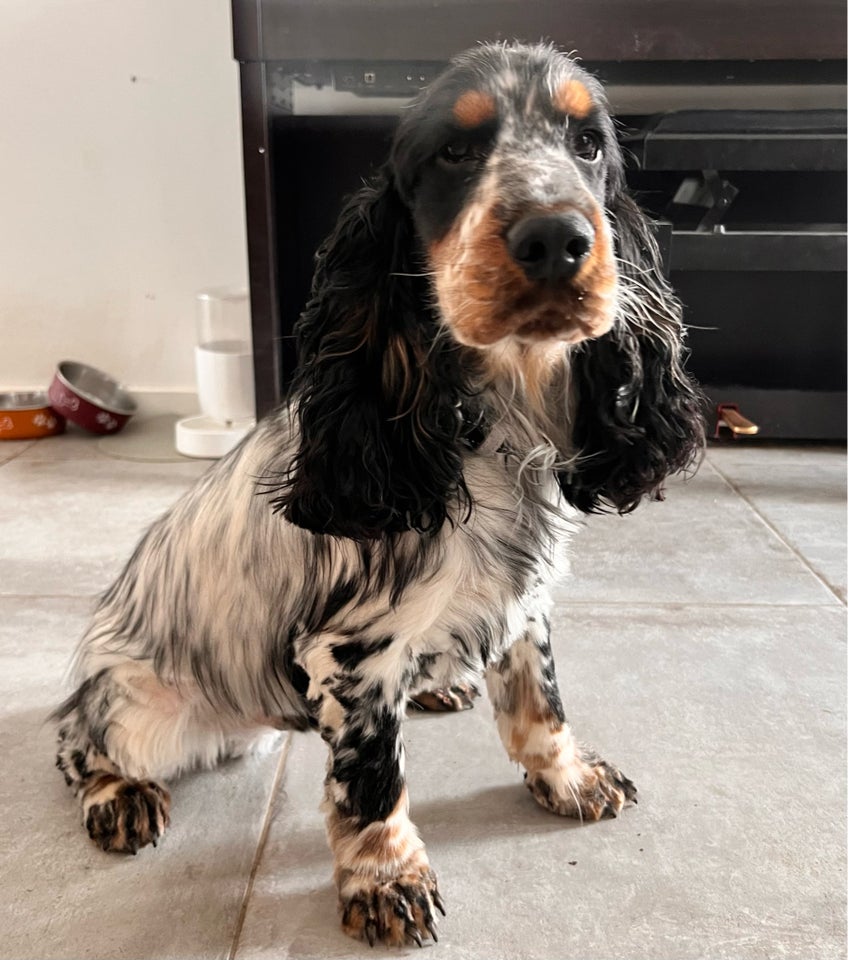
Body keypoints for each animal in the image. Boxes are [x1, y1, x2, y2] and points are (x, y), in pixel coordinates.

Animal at [51, 43, 704, 944]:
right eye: (454, 152)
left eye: (589, 144)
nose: (556, 239)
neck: (495, 417)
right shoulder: (351, 651)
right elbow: (371, 781)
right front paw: (386, 880)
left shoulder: (526, 601)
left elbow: (541, 701)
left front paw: (569, 779)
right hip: (135, 704)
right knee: (75, 741)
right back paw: (119, 796)